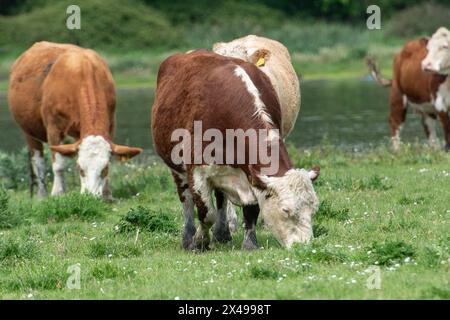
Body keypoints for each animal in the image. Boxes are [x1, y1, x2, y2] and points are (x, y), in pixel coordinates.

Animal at [8, 41, 142, 199]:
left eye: (105, 168)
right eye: (80, 168)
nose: (90, 196)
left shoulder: (111, 123)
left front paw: (107, 195)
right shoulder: (53, 127)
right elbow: (59, 164)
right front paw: (58, 192)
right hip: (29, 131)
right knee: (38, 161)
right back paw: (42, 194)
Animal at [151, 50, 320, 250]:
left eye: (314, 209)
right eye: (285, 210)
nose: (304, 245)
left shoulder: (250, 173)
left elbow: (251, 209)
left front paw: (250, 243)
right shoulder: (197, 171)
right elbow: (206, 213)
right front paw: (199, 242)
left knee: (221, 198)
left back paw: (222, 233)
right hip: (177, 167)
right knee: (186, 199)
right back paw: (188, 237)